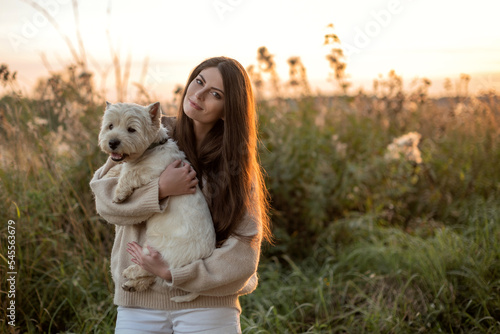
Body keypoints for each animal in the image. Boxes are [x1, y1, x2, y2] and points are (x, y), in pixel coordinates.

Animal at [97, 101, 215, 302]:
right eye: (110, 126)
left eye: (131, 129)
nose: (112, 142)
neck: (151, 148)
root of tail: (201, 258)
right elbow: (122, 168)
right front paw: (110, 171)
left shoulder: (152, 171)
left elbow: (131, 173)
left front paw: (119, 193)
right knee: (154, 276)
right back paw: (132, 285)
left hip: (160, 251)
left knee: (153, 269)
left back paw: (130, 272)